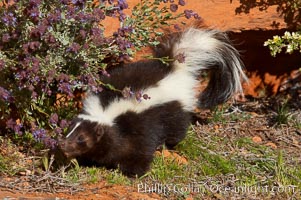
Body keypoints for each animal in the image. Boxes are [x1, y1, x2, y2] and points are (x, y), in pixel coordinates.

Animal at [56, 27, 246, 177]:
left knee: (177, 129)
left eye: (81, 138)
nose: (62, 144)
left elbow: (139, 151)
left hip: (175, 111)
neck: (108, 114)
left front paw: (133, 173)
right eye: (68, 130)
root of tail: (172, 68)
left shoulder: (139, 127)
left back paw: (169, 145)